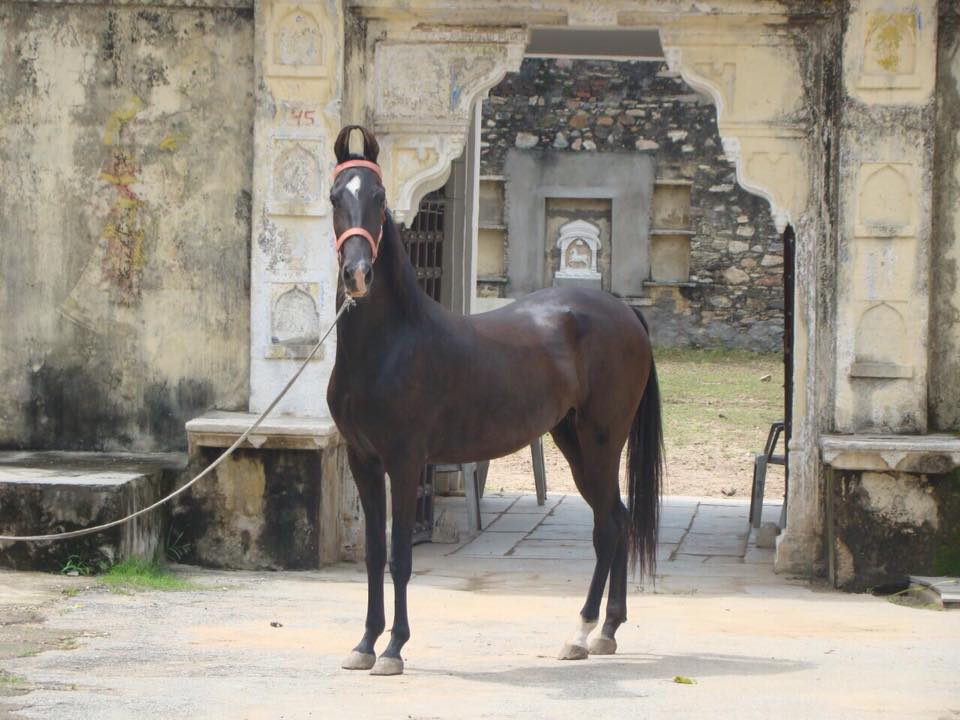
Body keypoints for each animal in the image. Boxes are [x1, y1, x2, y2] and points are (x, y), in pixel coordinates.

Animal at [326, 125, 664, 676]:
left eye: (378, 197)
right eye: (336, 196)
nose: (357, 274)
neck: (390, 343)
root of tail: (624, 312)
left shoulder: (405, 462)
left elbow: (401, 556)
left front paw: (394, 648)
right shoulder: (364, 461)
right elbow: (375, 554)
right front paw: (365, 644)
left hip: (602, 441)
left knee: (610, 524)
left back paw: (581, 631)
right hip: (572, 440)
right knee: (615, 517)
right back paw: (605, 632)